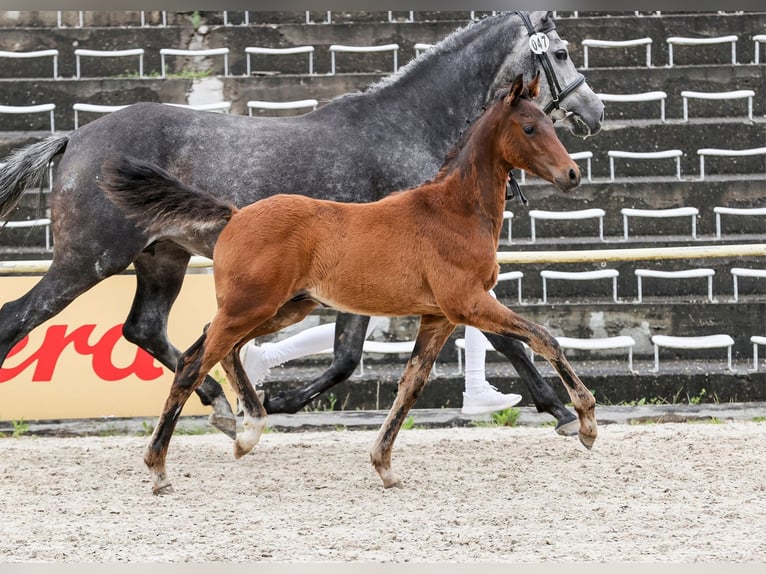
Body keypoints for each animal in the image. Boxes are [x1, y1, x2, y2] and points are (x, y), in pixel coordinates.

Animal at [99, 73, 600, 496]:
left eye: (551, 123)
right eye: (530, 127)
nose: (572, 174)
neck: (452, 212)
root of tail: (236, 214)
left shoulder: (437, 317)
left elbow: (411, 384)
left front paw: (384, 466)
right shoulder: (467, 303)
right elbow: (543, 337)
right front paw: (585, 422)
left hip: (282, 307)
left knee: (218, 350)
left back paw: (248, 432)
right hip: (249, 307)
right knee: (193, 363)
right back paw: (160, 469)